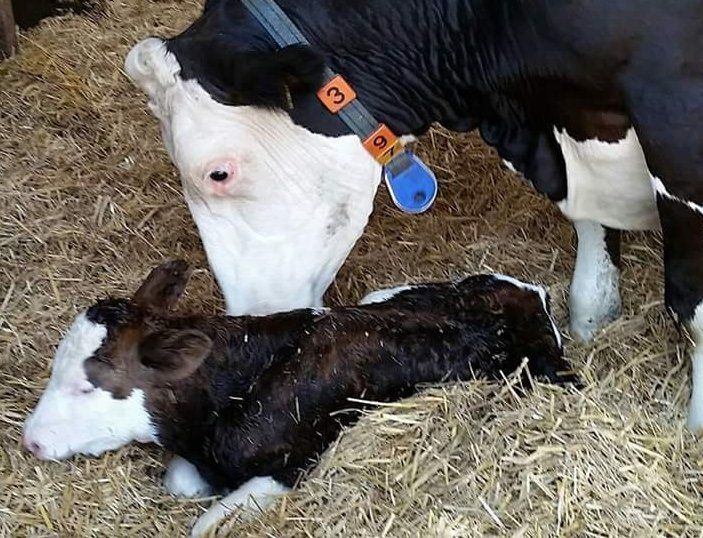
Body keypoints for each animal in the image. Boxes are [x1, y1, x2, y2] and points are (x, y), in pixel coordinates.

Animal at [22, 260, 574, 536]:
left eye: (87, 384)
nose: (29, 441)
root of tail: (531, 291)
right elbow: (181, 482)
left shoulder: (295, 465)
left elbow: (202, 526)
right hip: (386, 295)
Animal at [124, 0, 703, 429]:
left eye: (218, 173)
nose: (249, 319)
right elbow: (591, 240)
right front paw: (592, 317)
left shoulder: (676, 114)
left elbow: (688, 301)